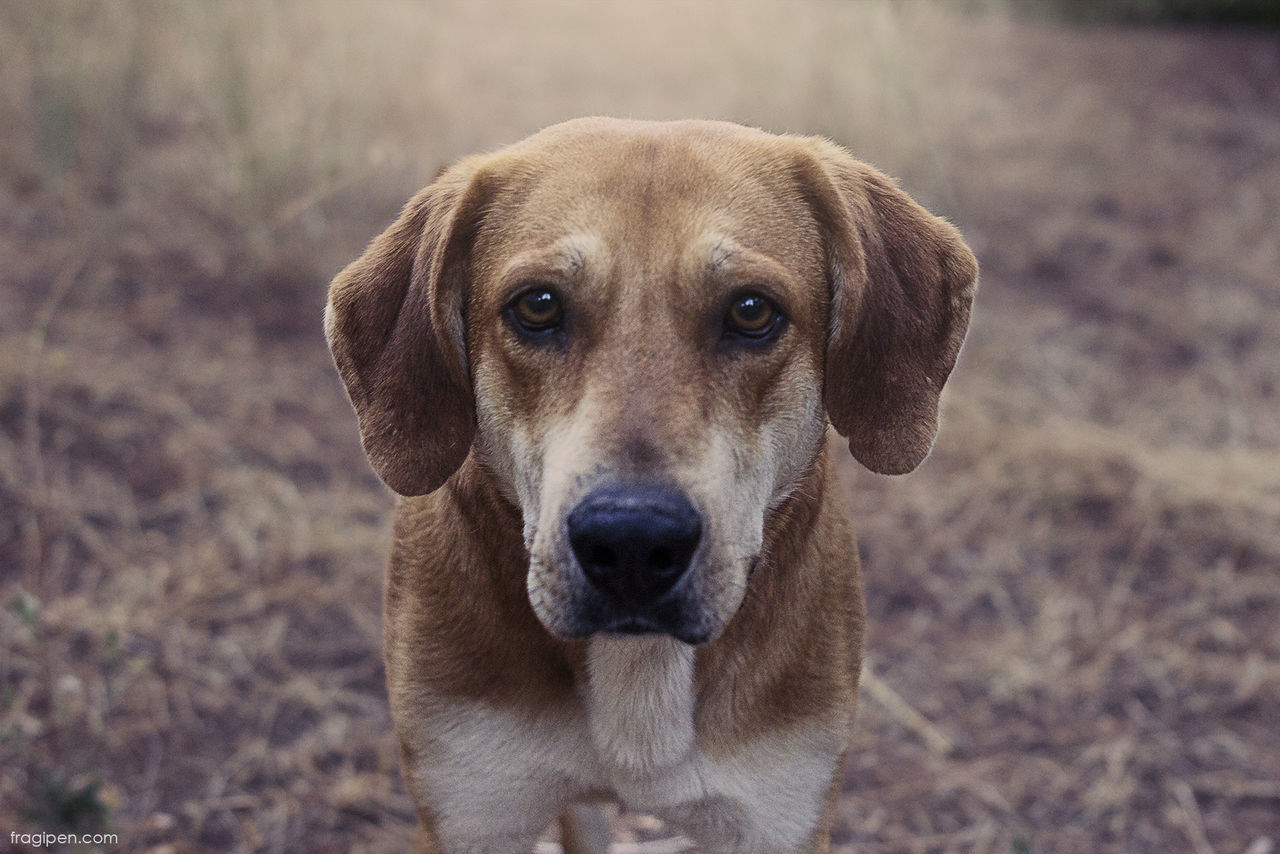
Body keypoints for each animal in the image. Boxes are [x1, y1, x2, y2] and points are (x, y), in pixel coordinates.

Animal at [325, 118, 972, 854]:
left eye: (753, 311)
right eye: (537, 306)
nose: (632, 543)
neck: (638, 666)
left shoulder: (779, 810)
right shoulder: (471, 804)